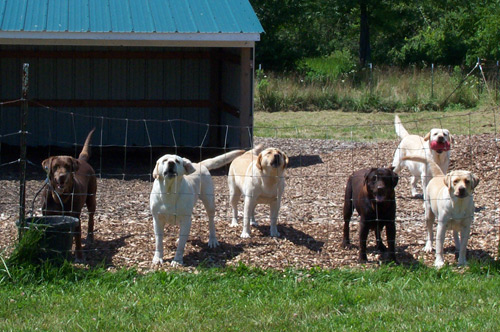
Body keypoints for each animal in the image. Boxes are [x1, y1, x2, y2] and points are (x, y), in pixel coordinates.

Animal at [42, 128, 96, 260]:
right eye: (55, 167)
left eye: (67, 166)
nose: (62, 176)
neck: (59, 196)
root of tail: (81, 160)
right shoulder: (47, 215)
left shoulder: (75, 216)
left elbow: (78, 237)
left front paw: (79, 256)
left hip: (91, 198)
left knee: (91, 218)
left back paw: (90, 237)